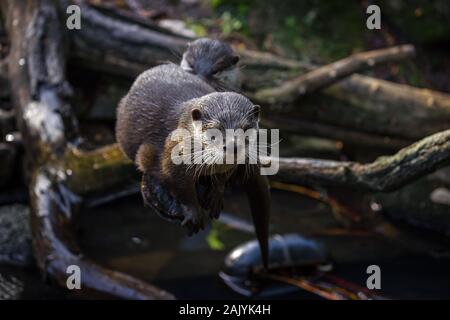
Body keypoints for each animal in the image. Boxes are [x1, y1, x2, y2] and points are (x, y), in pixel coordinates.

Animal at [116, 63, 270, 268]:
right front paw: (193, 212)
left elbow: (221, 180)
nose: (232, 146)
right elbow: (181, 187)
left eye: (245, 128)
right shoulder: (170, 160)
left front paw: (216, 195)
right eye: (215, 130)